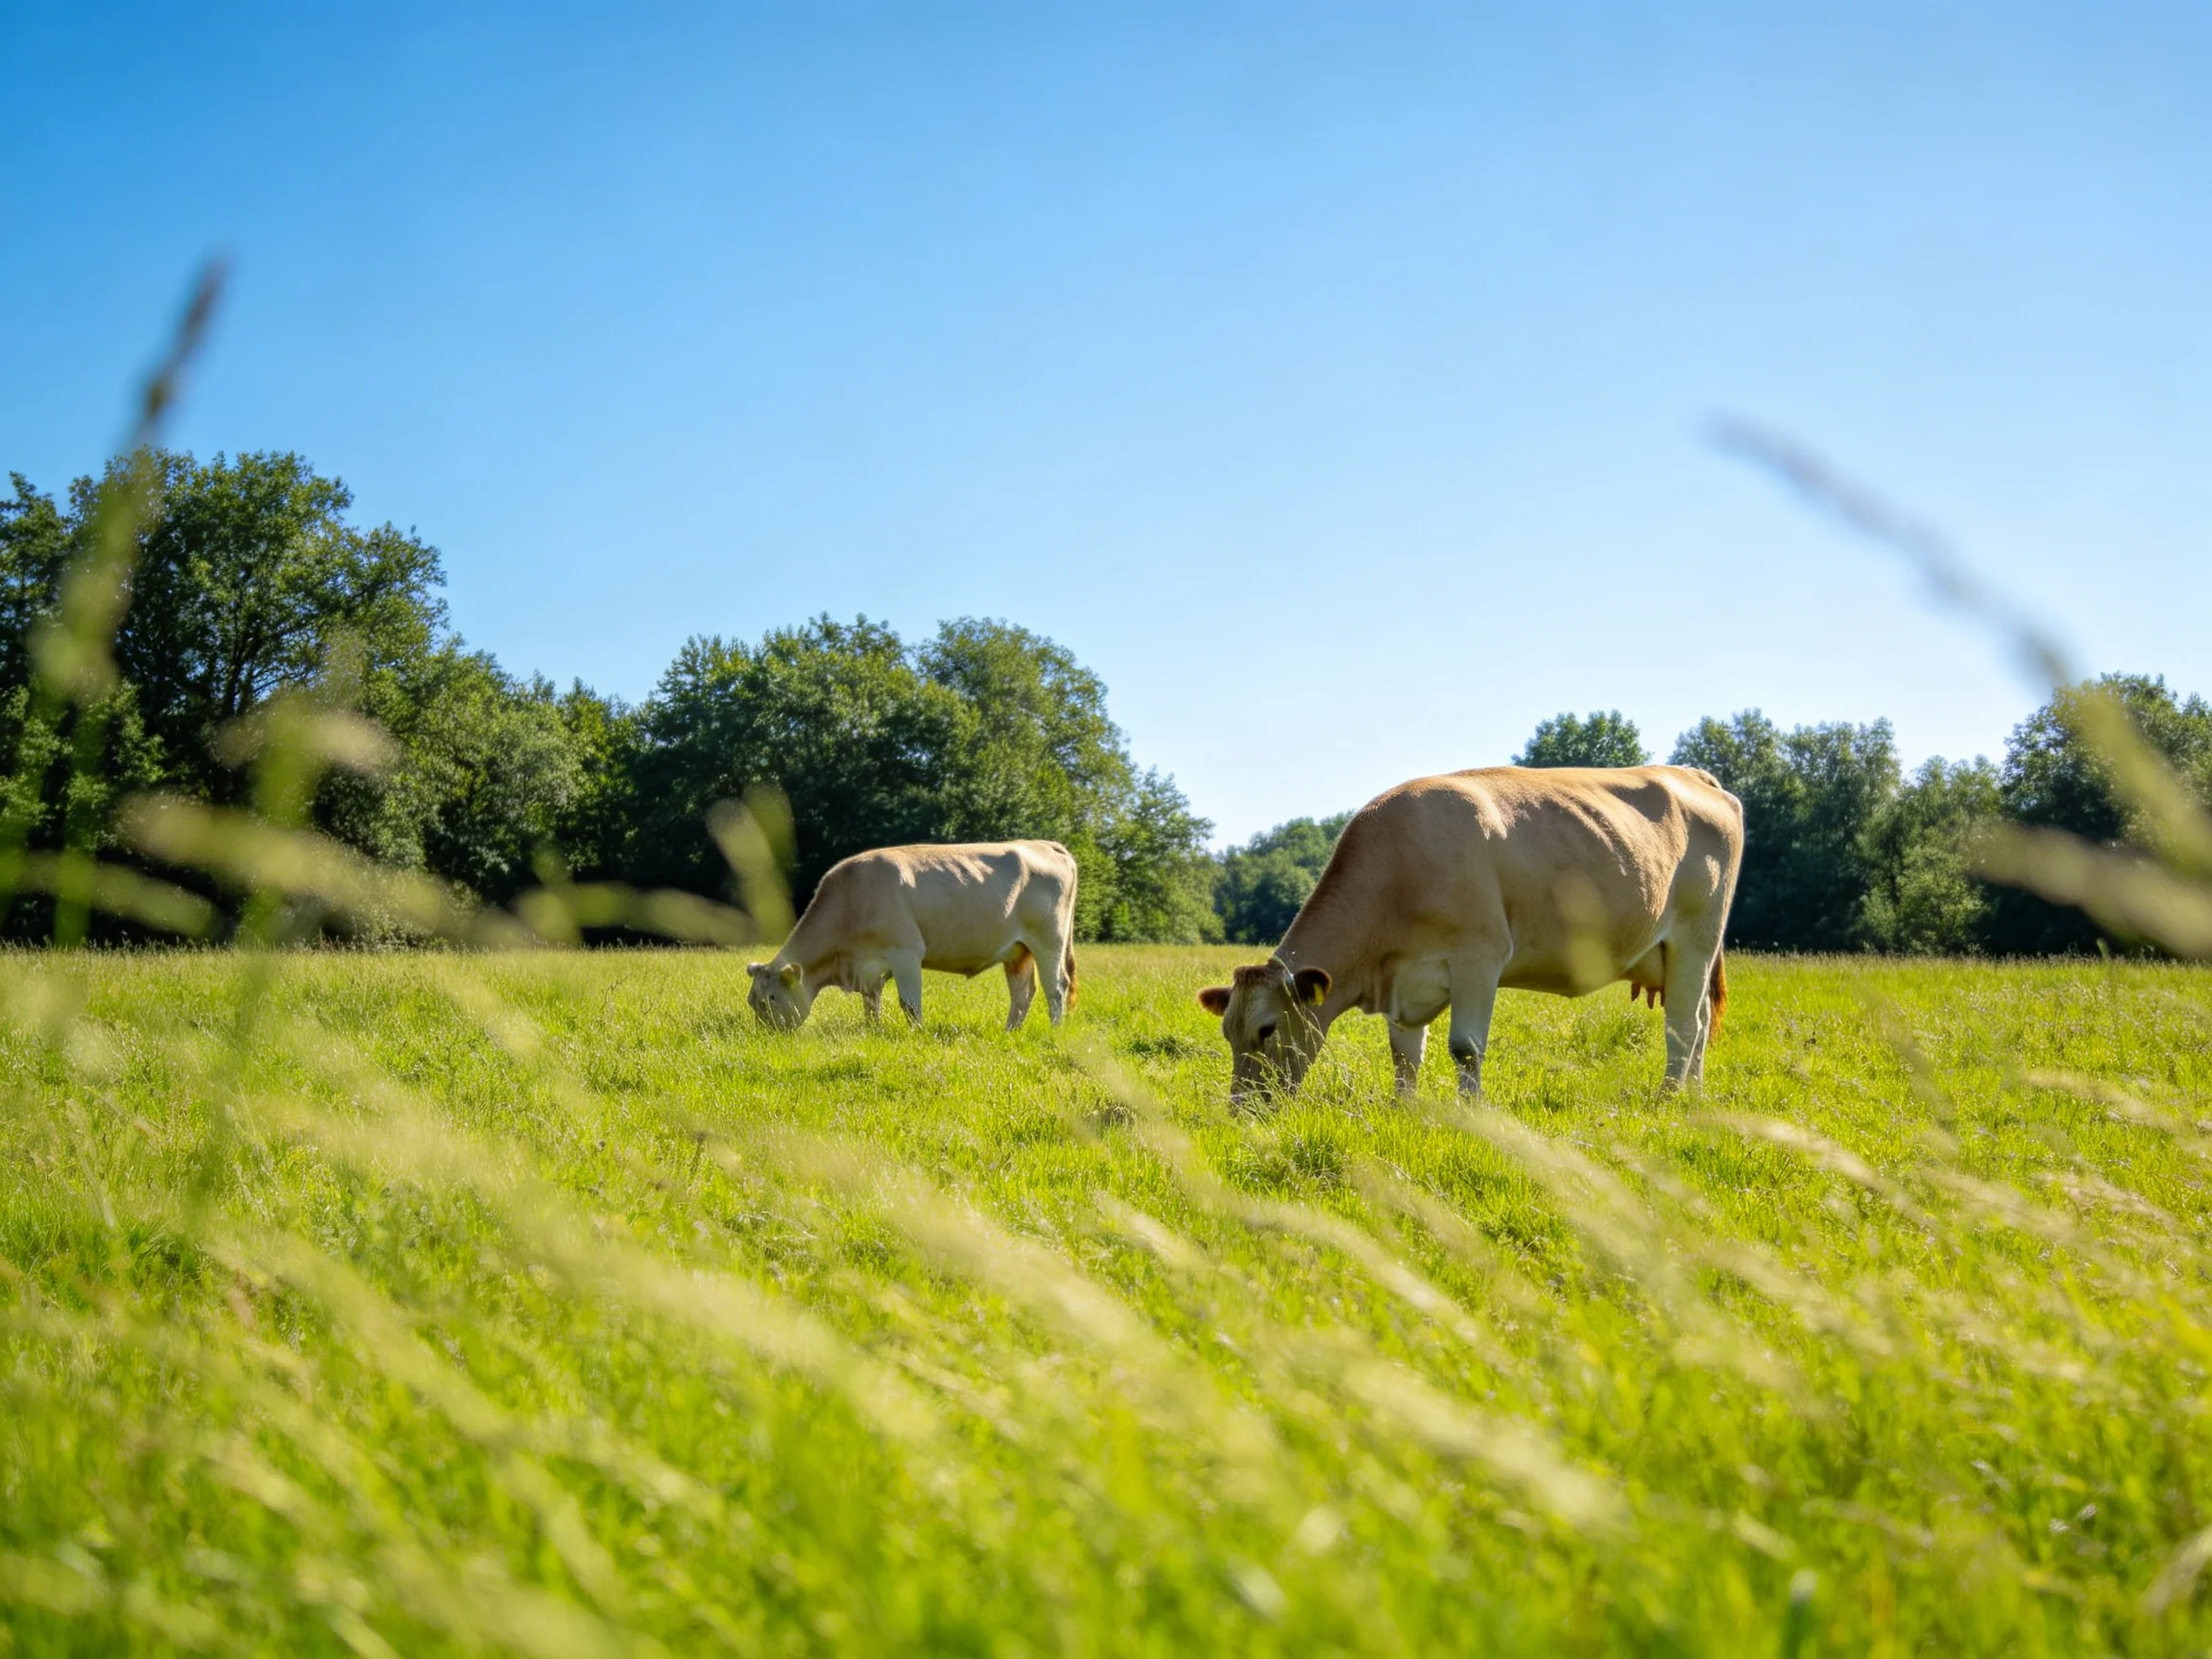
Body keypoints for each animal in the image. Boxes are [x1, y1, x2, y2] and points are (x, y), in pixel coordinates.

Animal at [748, 840, 1079, 1032]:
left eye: (771, 998)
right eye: (753, 1001)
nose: (765, 1036)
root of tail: (1045, 844)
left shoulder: (906, 952)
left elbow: (909, 1003)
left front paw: (916, 1034)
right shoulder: (869, 968)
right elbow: (871, 1003)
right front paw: (874, 1031)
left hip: (1049, 940)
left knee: (1056, 987)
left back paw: (1055, 1031)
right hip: (1018, 950)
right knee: (1022, 993)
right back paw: (1010, 1032)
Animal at [1196, 766, 1742, 1102]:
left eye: (1267, 1029)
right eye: (1227, 1032)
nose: (1243, 1110)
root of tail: (1690, 774)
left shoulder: (1479, 957)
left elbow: (1465, 1047)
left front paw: (1471, 1112)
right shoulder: (1404, 978)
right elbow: (1404, 1053)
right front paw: (1402, 1108)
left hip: (1695, 939)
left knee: (1683, 1025)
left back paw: (1668, 1097)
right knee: (1696, 1023)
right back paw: (1693, 1096)